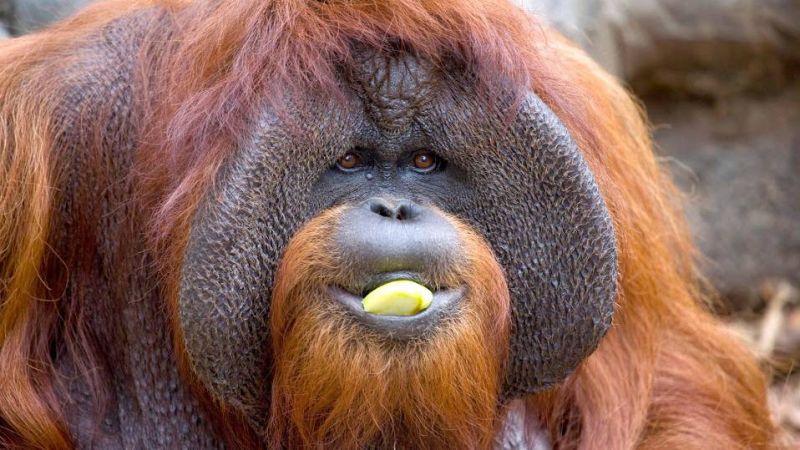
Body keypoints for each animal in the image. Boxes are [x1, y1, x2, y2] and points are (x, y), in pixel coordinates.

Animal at [0, 0, 776, 448]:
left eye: (425, 162)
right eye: (351, 161)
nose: (396, 207)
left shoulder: (596, 133)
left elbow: (672, 386)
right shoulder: (36, 127)